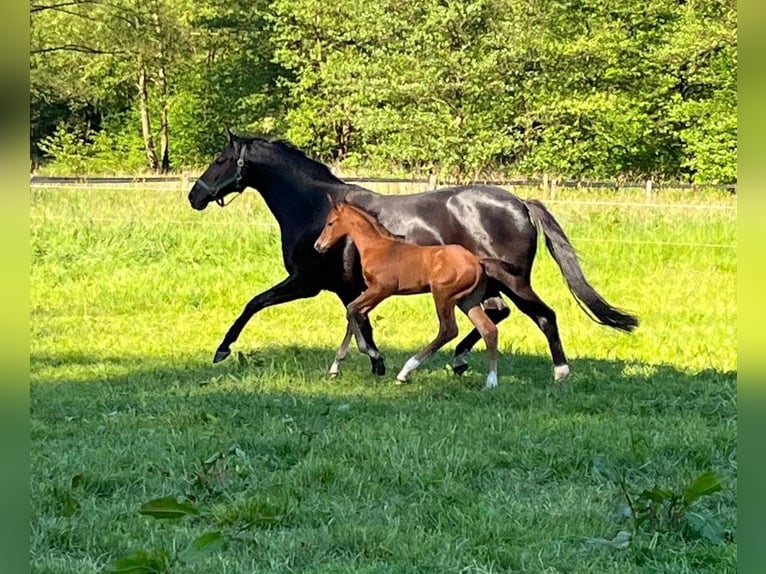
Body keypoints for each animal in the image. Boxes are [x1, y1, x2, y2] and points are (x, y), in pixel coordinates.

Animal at [316, 198, 500, 392]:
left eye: (330, 223)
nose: (318, 245)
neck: (377, 247)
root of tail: (477, 261)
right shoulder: (373, 292)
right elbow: (355, 314)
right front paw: (335, 367)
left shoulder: (382, 289)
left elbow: (352, 310)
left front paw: (372, 353)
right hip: (468, 300)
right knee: (488, 329)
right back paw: (491, 381)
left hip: (443, 295)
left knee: (448, 330)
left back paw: (404, 373)